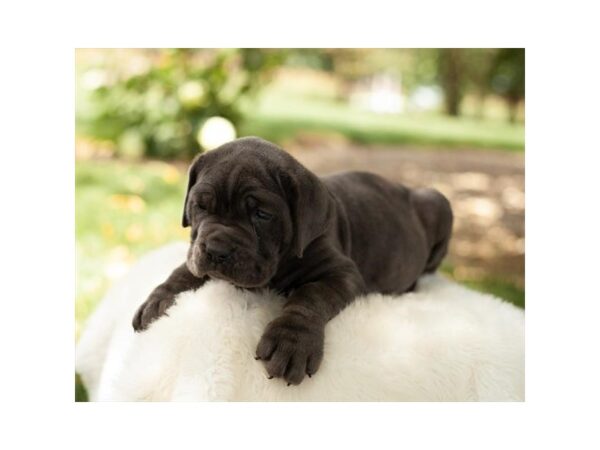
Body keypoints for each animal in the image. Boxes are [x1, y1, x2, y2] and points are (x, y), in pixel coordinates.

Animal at [130, 135, 450, 384]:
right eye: (200, 206)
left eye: (261, 215)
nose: (217, 250)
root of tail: (404, 187)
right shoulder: (196, 251)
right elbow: (183, 271)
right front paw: (158, 300)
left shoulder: (340, 273)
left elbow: (310, 296)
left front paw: (292, 343)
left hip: (439, 203)